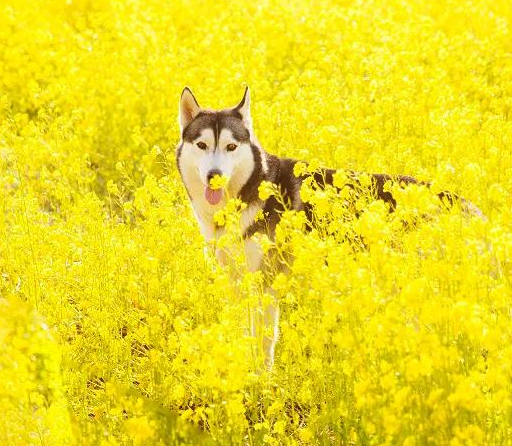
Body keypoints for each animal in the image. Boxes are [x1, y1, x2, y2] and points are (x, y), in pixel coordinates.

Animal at [174, 86, 482, 366]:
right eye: (201, 145)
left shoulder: (265, 286)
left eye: (231, 147)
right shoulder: (236, 284)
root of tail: (464, 205)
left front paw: (260, 382)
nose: (214, 176)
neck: (248, 191)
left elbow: (263, 345)